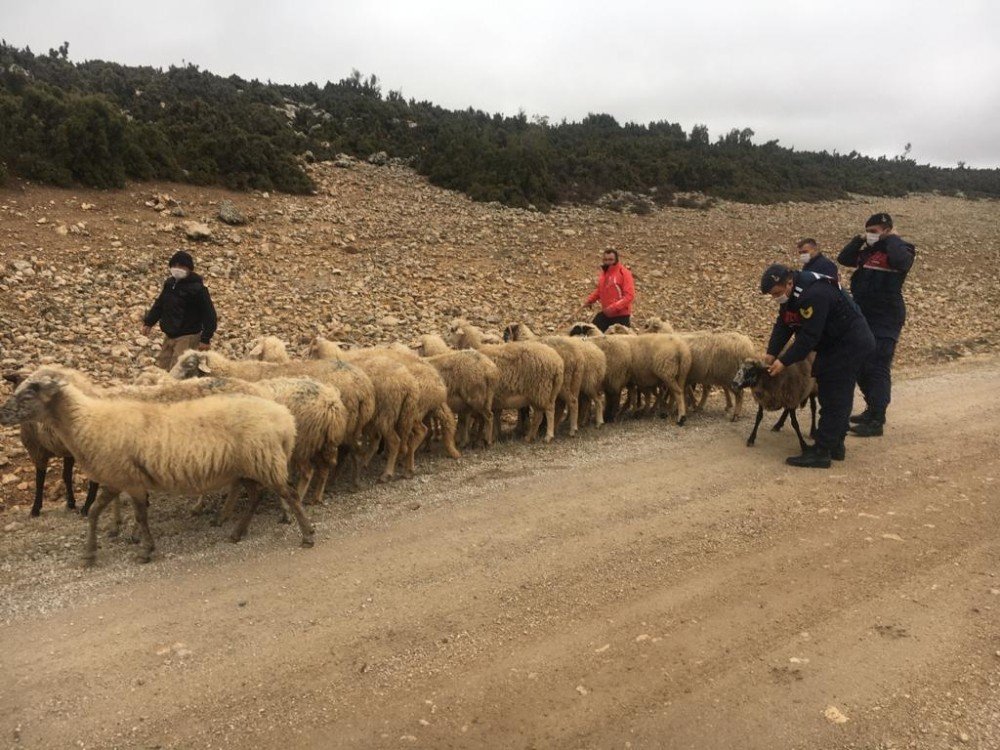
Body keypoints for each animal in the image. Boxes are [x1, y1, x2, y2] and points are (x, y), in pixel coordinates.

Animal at [0, 370, 312, 564]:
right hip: (247, 467)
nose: (2, 414)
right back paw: (237, 532)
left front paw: (144, 550)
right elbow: (95, 514)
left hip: (264, 461)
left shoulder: (132, 481)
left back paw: (307, 534)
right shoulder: (116, 479)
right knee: (257, 496)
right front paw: (90, 553)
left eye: (29, 394)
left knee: (290, 494)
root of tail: (285, 418)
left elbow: (140, 516)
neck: (88, 420)